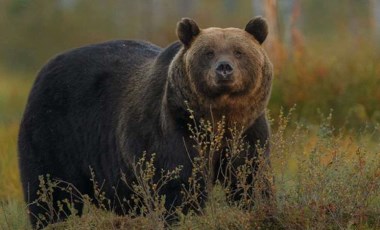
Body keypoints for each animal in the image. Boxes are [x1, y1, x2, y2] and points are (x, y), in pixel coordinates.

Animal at [18, 16, 274, 228]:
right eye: (208, 52)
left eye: (239, 51)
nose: (224, 68)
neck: (218, 118)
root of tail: (44, 68)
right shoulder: (173, 125)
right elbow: (177, 182)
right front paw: (184, 216)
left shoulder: (249, 129)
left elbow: (250, 175)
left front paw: (257, 207)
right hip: (54, 130)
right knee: (51, 190)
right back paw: (53, 220)